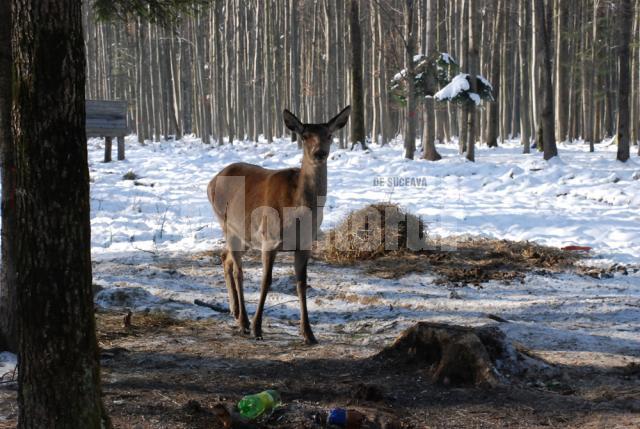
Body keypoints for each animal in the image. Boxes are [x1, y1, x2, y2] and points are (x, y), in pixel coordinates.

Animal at [209, 107, 350, 344]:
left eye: (329, 134)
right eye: (304, 136)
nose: (319, 153)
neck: (299, 210)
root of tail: (211, 181)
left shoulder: (305, 244)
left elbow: (301, 284)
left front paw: (308, 333)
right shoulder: (269, 239)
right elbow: (266, 281)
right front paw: (257, 328)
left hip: (243, 233)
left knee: (224, 257)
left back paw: (234, 311)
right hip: (226, 223)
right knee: (238, 270)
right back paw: (244, 322)